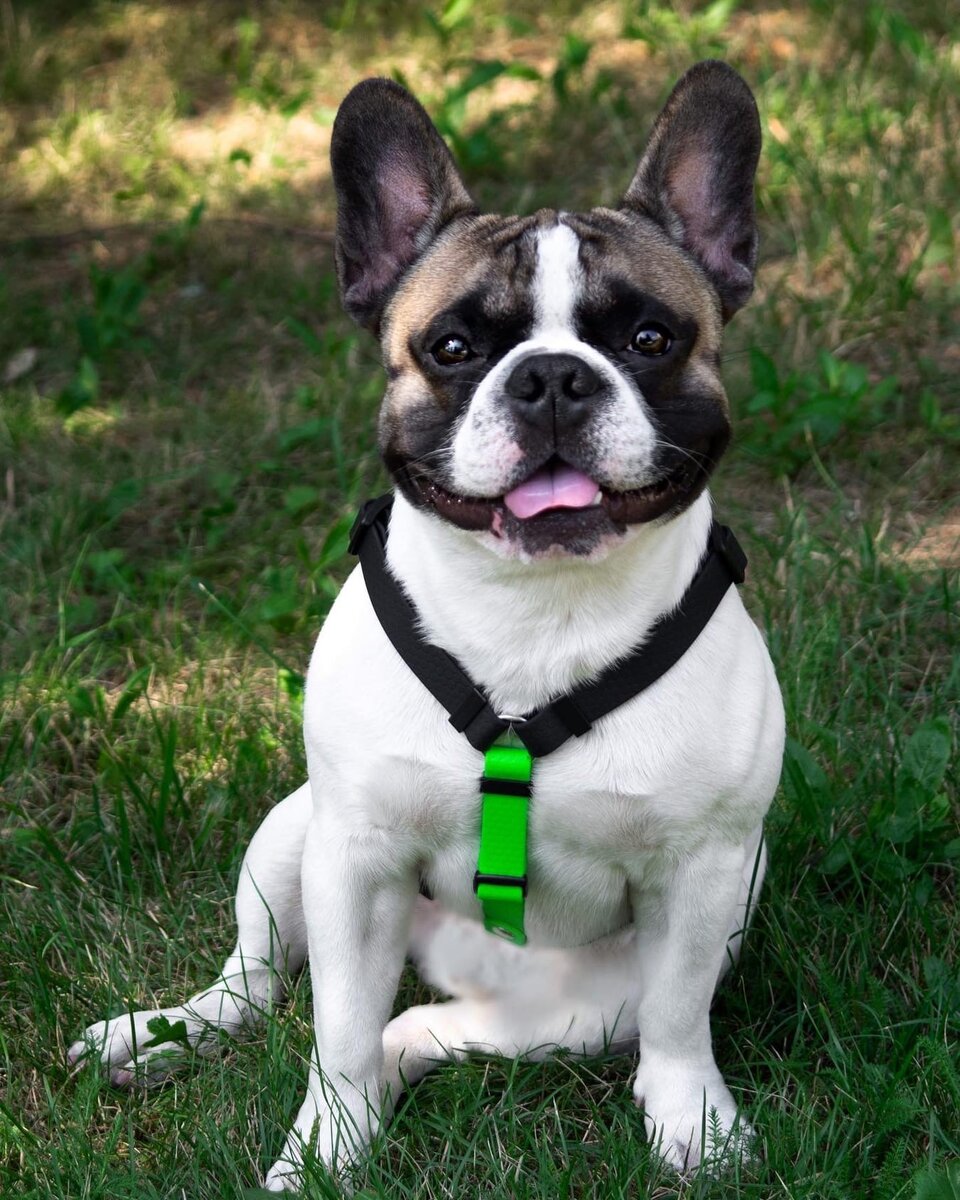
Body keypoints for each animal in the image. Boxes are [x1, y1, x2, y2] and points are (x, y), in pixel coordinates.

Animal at [69, 60, 785, 1190]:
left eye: (650, 340)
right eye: (452, 348)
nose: (551, 376)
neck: (536, 611)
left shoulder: (703, 875)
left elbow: (680, 1021)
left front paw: (696, 1128)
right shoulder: (355, 862)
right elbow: (338, 1030)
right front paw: (325, 1148)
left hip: (576, 1010)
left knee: (420, 1032)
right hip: (292, 835)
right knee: (261, 982)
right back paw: (165, 1034)